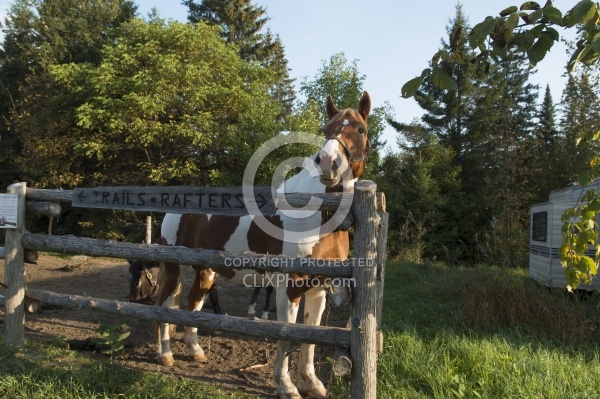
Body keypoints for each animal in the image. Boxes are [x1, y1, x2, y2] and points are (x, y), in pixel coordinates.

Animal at [154, 91, 370, 399]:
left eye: (360, 129)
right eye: (326, 129)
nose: (328, 163)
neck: (316, 214)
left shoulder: (318, 289)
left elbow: (310, 338)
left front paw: (313, 384)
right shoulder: (288, 287)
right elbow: (286, 335)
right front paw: (287, 387)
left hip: (206, 271)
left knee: (193, 303)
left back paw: (196, 352)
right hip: (174, 268)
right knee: (164, 306)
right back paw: (165, 355)